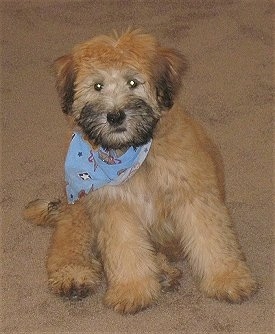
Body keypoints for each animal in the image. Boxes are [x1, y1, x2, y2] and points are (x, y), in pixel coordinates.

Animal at [22, 30, 258, 314]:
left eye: (133, 82)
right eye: (97, 86)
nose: (115, 116)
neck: (131, 153)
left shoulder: (193, 194)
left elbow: (212, 239)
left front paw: (228, 278)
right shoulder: (114, 207)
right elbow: (125, 248)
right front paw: (132, 289)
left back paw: (163, 271)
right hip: (80, 206)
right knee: (68, 242)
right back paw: (74, 275)